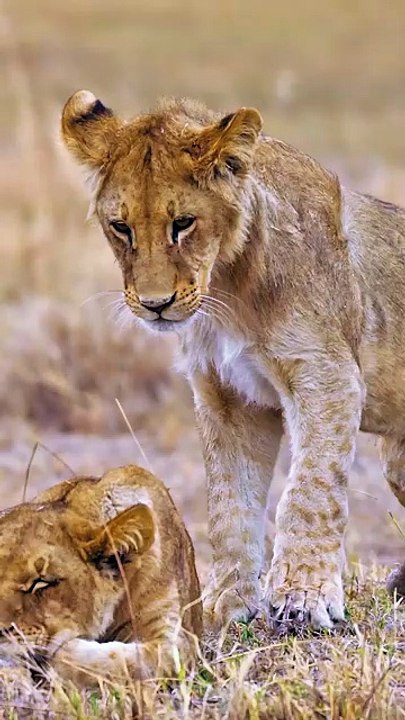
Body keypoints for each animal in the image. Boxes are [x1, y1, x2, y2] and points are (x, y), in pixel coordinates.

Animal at [61, 91, 405, 630]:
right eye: (121, 228)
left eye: (183, 224)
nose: (155, 304)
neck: (225, 286)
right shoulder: (228, 396)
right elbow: (229, 506)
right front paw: (228, 608)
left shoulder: (328, 376)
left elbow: (309, 492)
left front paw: (302, 601)